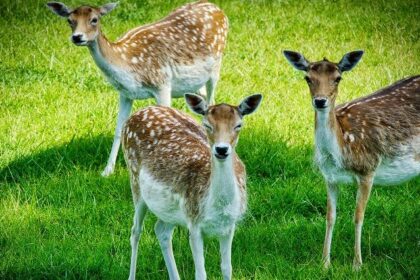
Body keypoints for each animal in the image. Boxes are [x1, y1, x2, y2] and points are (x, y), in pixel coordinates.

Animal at [47, 1, 228, 177]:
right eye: (70, 20)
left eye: (94, 19)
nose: (77, 37)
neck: (127, 66)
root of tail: (218, 9)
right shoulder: (125, 93)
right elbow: (118, 129)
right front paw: (107, 171)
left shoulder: (162, 83)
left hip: (216, 66)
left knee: (211, 98)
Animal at [120, 94, 260, 280]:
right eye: (207, 125)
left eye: (238, 125)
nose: (221, 149)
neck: (216, 208)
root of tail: (141, 110)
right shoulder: (194, 223)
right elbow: (200, 273)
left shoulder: (229, 225)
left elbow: (227, 268)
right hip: (135, 181)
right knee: (136, 231)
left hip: (171, 211)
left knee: (161, 230)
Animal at [282, 49, 420, 270]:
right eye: (307, 78)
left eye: (338, 78)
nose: (320, 101)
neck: (342, 150)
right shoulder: (329, 177)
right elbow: (330, 216)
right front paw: (325, 263)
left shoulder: (368, 169)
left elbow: (358, 216)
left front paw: (357, 264)